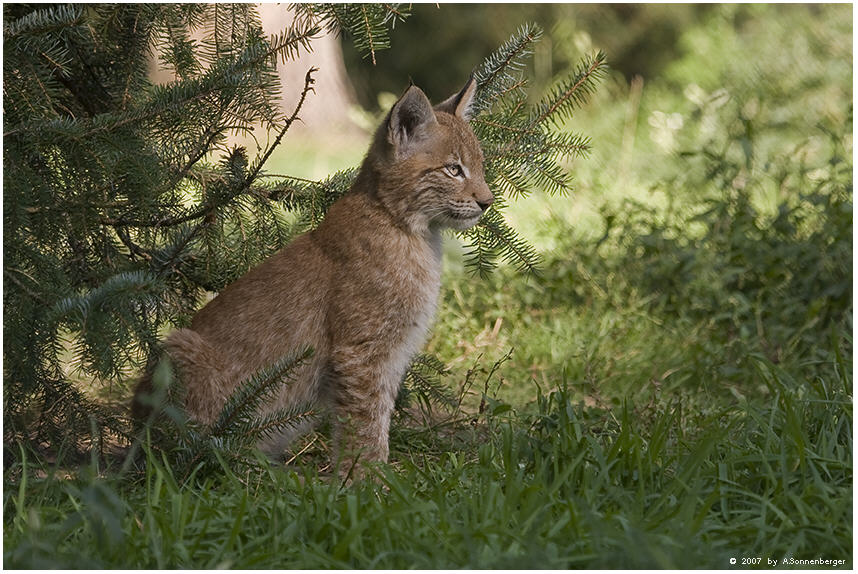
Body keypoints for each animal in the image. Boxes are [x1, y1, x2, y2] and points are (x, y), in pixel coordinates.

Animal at [135, 75, 494, 472]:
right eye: (453, 169)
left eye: (480, 166)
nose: (487, 202)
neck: (411, 228)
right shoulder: (360, 350)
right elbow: (365, 423)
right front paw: (367, 479)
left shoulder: (389, 354)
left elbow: (379, 415)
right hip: (180, 347)